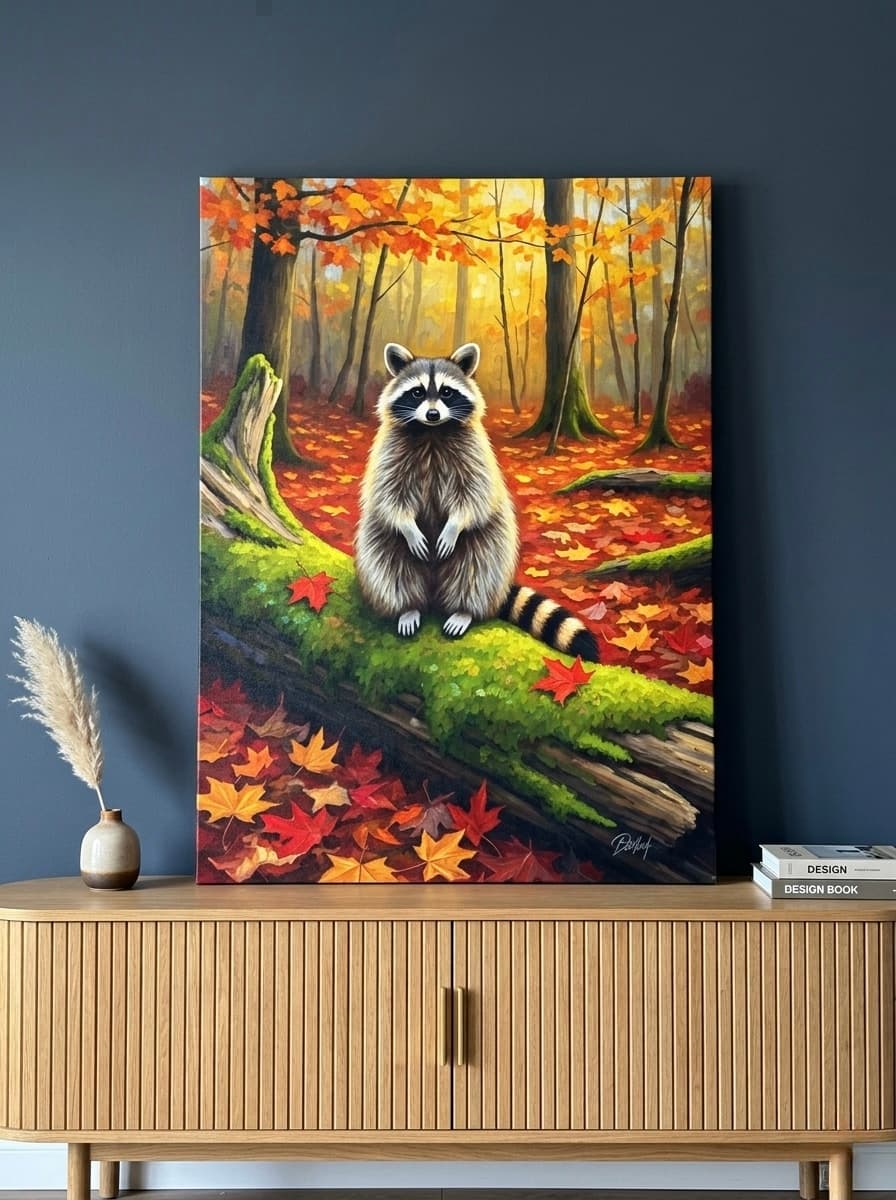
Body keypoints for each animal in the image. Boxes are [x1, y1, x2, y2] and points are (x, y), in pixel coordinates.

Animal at [354, 342, 598, 661]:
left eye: (446, 392)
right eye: (417, 392)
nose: (433, 414)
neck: (433, 432)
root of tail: (433, 594)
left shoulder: (475, 454)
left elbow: (474, 496)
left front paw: (454, 525)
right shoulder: (389, 453)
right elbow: (389, 497)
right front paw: (408, 526)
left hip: (491, 540)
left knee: (478, 566)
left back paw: (463, 610)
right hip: (381, 542)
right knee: (386, 563)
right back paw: (408, 607)